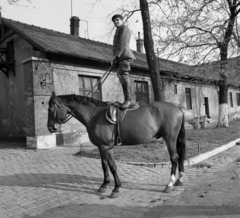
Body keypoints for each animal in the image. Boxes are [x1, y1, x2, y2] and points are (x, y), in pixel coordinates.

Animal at [47, 92, 186, 198]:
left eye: (51, 109)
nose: (50, 128)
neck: (95, 115)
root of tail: (177, 108)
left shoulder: (107, 147)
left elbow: (113, 166)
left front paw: (116, 188)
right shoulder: (101, 147)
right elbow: (104, 166)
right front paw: (104, 185)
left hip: (170, 139)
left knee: (174, 158)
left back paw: (170, 184)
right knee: (179, 157)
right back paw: (179, 180)